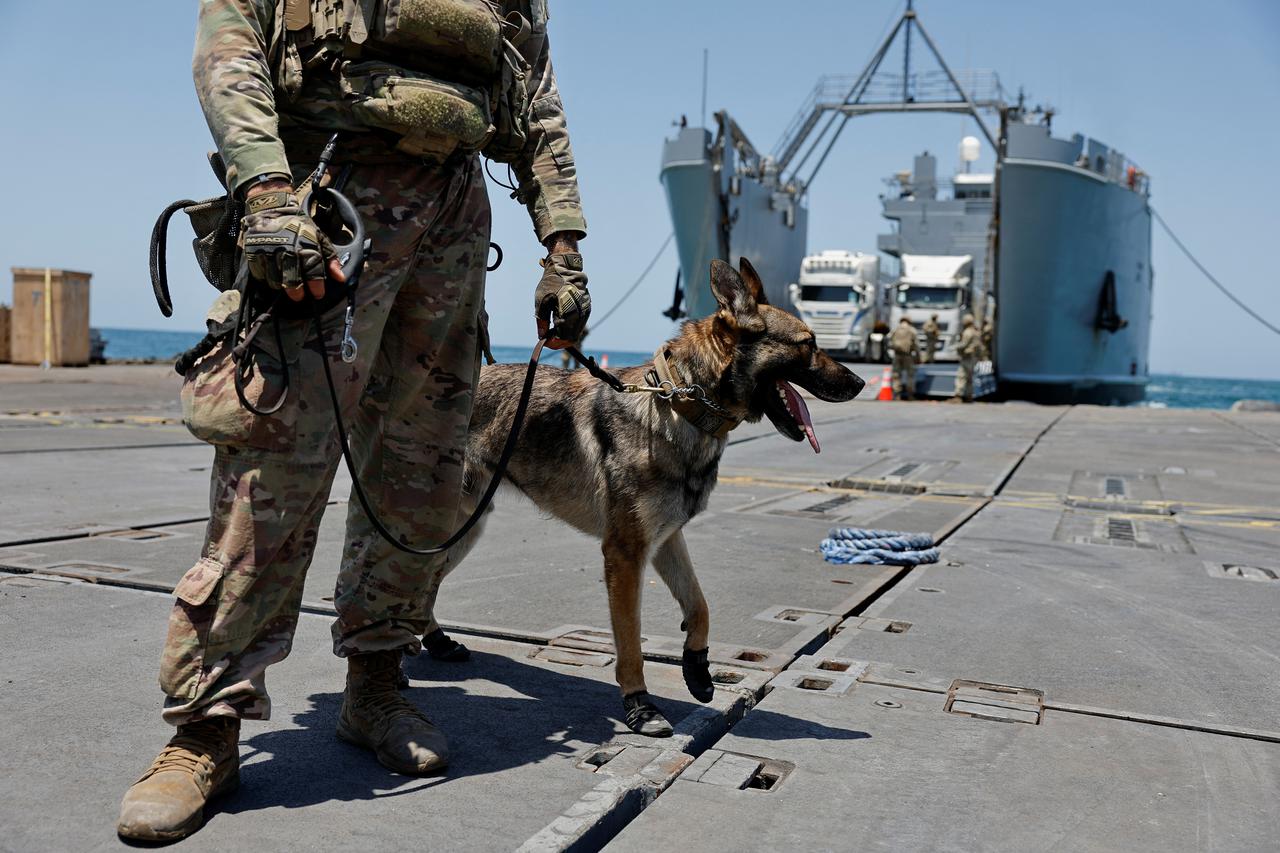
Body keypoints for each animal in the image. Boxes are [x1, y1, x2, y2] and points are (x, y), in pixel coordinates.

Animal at [445, 256, 865, 732]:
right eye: (808, 344)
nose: (860, 382)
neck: (681, 405)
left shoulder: (665, 540)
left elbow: (699, 605)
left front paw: (697, 667)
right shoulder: (626, 555)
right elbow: (630, 640)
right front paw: (639, 703)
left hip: (464, 529)